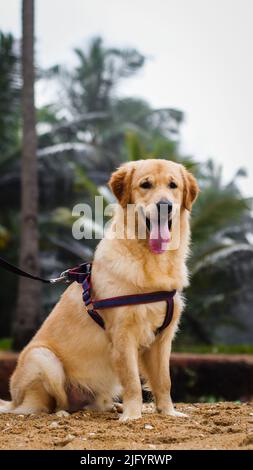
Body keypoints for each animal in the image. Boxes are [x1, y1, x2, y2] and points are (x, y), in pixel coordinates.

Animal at [0, 160, 198, 420]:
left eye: (173, 185)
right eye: (145, 184)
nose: (164, 205)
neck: (151, 260)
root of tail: (13, 400)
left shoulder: (163, 337)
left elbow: (164, 381)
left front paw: (169, 412)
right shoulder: (123, 335)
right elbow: (133, 381)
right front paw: (132, 416)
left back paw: (112, 406)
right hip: (43, 358)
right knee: (44, 405)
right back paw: (61, 413)